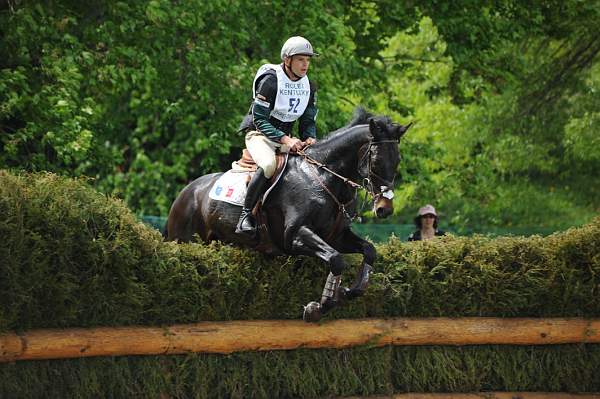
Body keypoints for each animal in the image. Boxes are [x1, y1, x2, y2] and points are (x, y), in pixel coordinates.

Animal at [166, 108, 410, 322]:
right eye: (376, 161)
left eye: (398, 161)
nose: (384, 208)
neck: (323, 176)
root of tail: (185, 193)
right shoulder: (295, 236)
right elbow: (335, 259)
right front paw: (318, 307)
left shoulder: (337, 236)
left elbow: (369, 251)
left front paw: (348, 291)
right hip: (184, 239)